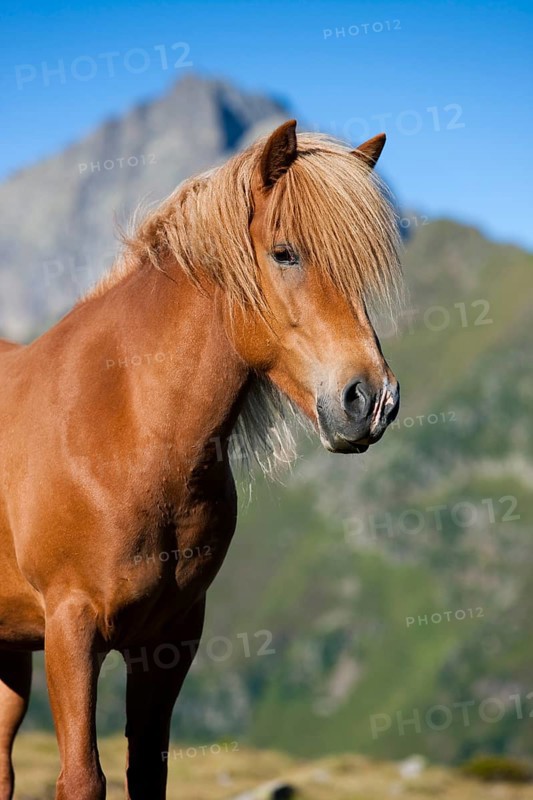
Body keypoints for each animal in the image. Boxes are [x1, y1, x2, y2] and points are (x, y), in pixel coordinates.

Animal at [0, 120, 402, 799]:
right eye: (285, 253)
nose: (371, 401)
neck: (123, 427)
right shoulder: (70, 631)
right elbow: (81, 778)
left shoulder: (169, 642)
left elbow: (148, 774)